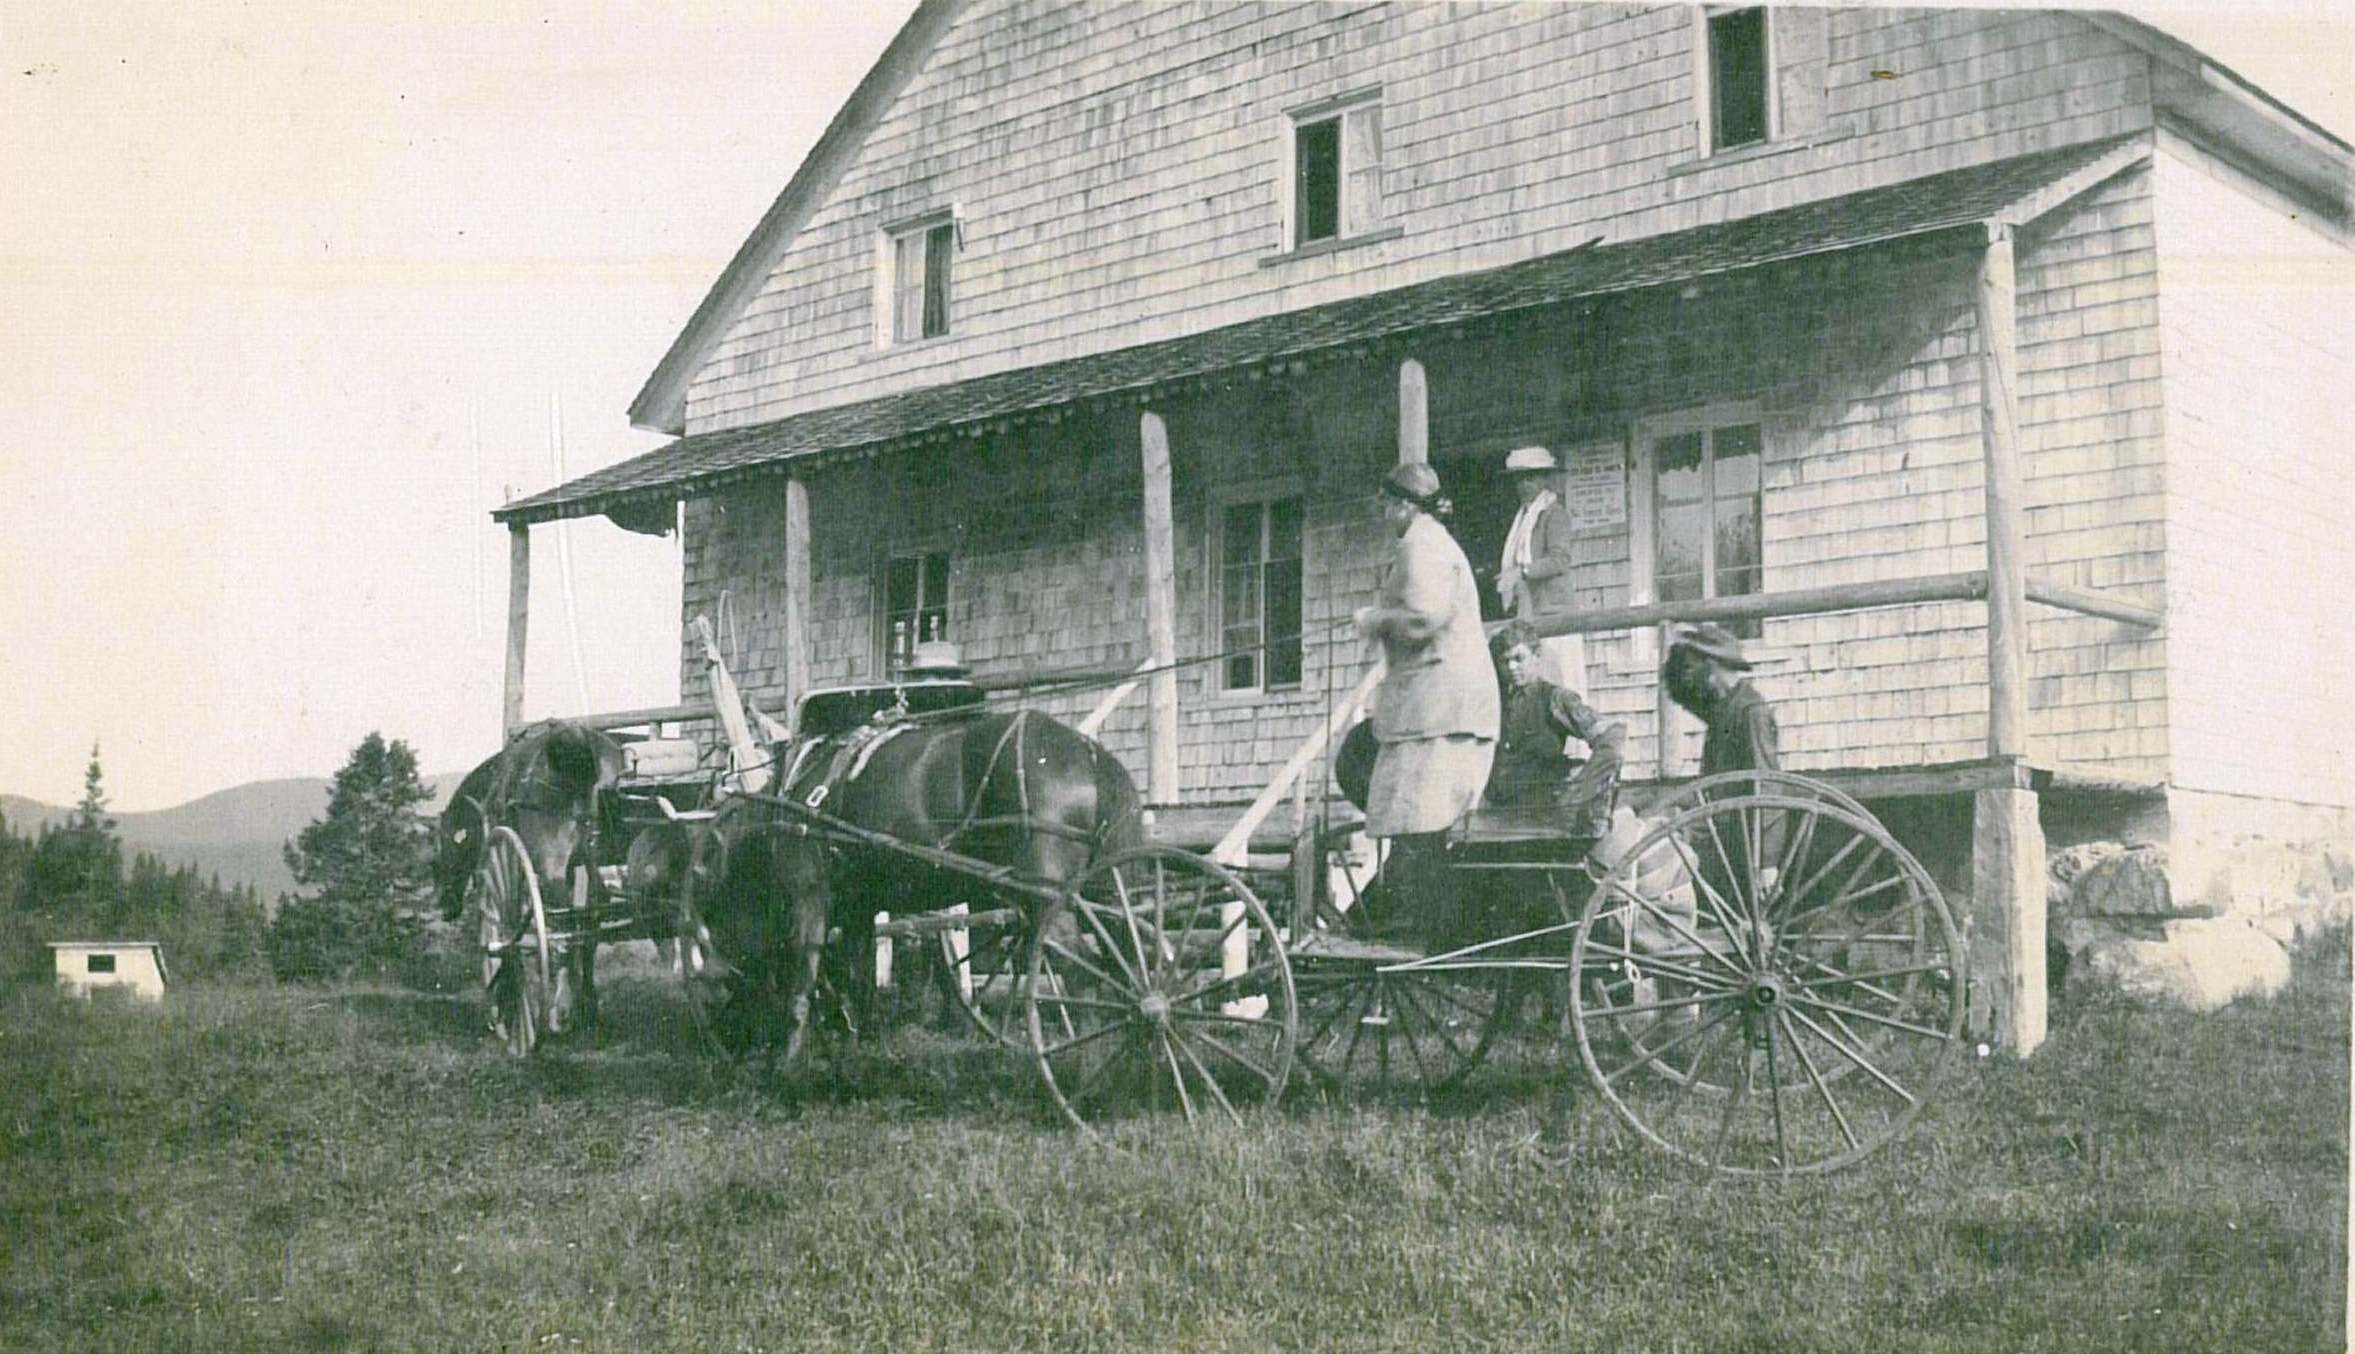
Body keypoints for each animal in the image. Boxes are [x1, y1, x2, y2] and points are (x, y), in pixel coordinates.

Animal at [435, 720, 626, 1050]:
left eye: (445, 853)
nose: (444, 905)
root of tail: (580, 741)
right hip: (595, 866)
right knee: (587, 930)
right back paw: (584, 1007)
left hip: (553, 870)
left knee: (562, 933)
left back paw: (558, 1012)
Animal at [659, 711, 1144, 1069]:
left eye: (728, 967)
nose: (725, 1040)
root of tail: (1092, 757)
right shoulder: (857, 910)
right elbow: (858, 980)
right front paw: (855, 1051)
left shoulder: (809, 896)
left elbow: (804, 977)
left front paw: (788, 1064)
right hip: (1108, 892)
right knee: (1128, 957)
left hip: (1048, 898)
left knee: (1082, 970)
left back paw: (1084, 1062)